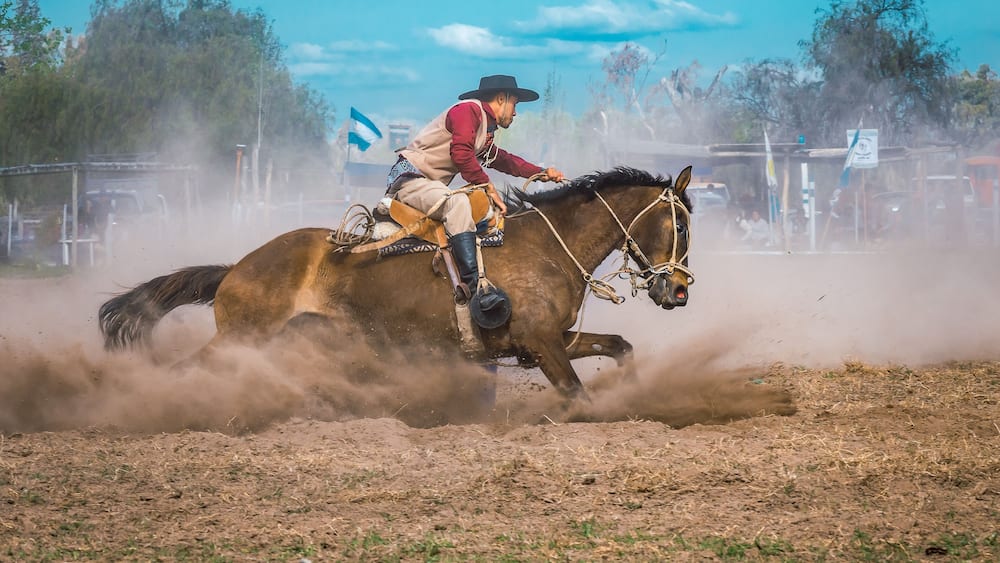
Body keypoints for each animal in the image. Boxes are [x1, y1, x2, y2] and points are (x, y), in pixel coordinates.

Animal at [99, 166, 694, 400]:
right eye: (682, 224)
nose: (679, 291)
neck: (550, 246)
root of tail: (238, 267)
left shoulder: (543, 341)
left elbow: (619, 345)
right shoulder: (543, 343)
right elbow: (576, 393)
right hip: (241, 337)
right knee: (186, 368)